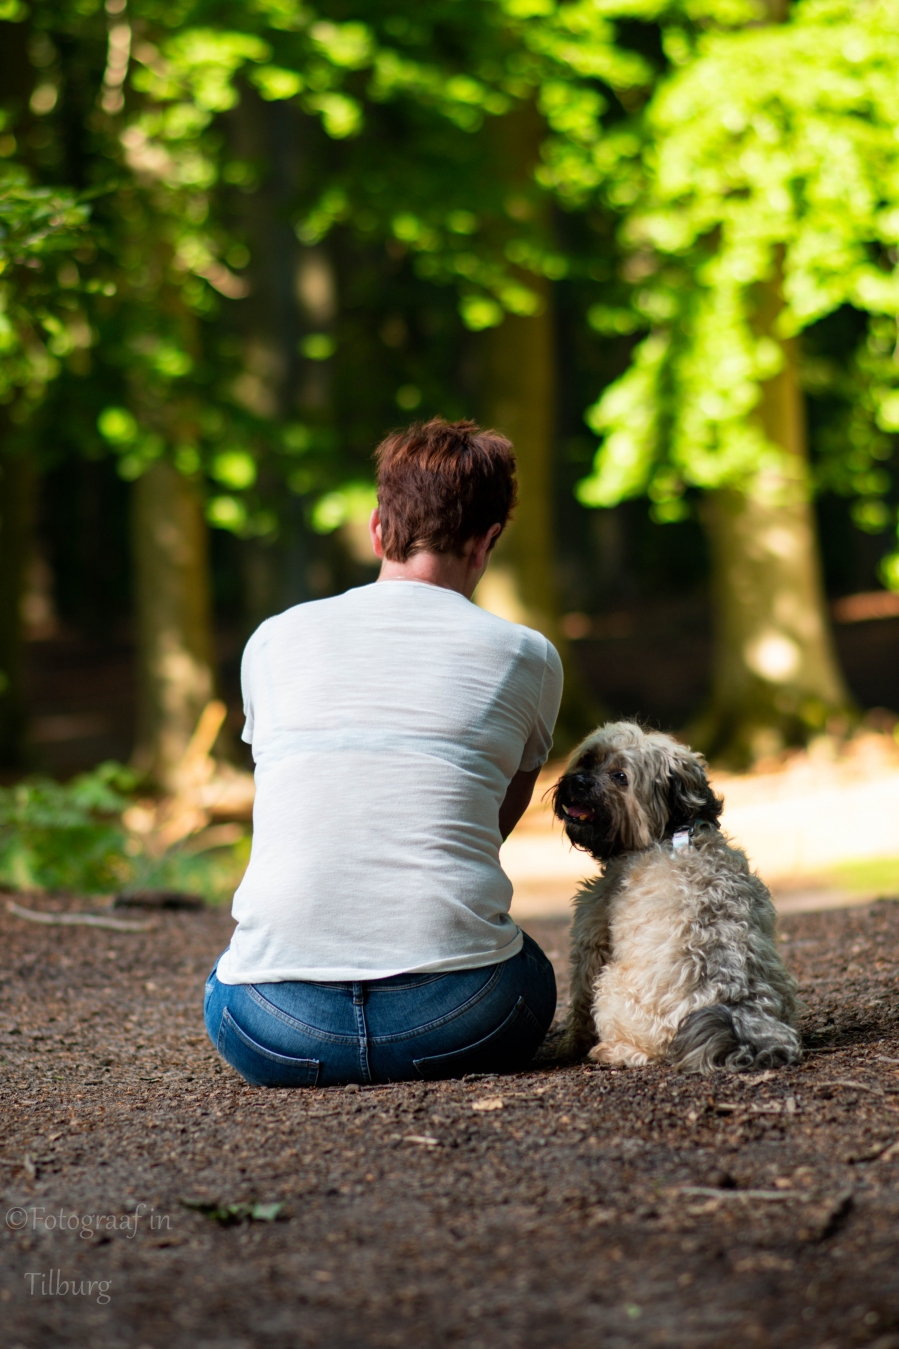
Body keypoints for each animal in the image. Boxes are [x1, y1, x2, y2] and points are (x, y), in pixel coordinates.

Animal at [553, 723, 799, 1068]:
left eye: (620, 777)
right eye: (588, 760)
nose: (579, 782)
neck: (671, 832)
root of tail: (735, 1009)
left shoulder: (592, 937)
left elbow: (579, 1002)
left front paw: (571, 1044)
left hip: (612, 987)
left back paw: (612, 1050)